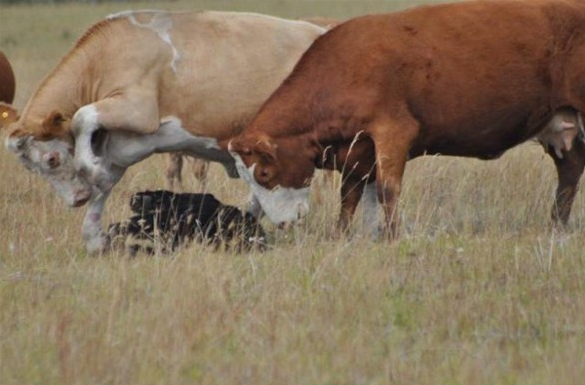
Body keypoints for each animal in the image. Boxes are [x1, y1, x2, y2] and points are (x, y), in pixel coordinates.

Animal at [227, 0, 584, 237]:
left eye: (264, 172)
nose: (283, 223)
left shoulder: (392, 132)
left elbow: (387, 189)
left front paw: (393, 234)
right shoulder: (356, 151)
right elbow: (349, 196)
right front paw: (340, 234)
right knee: (570, 168)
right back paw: (557, 225)